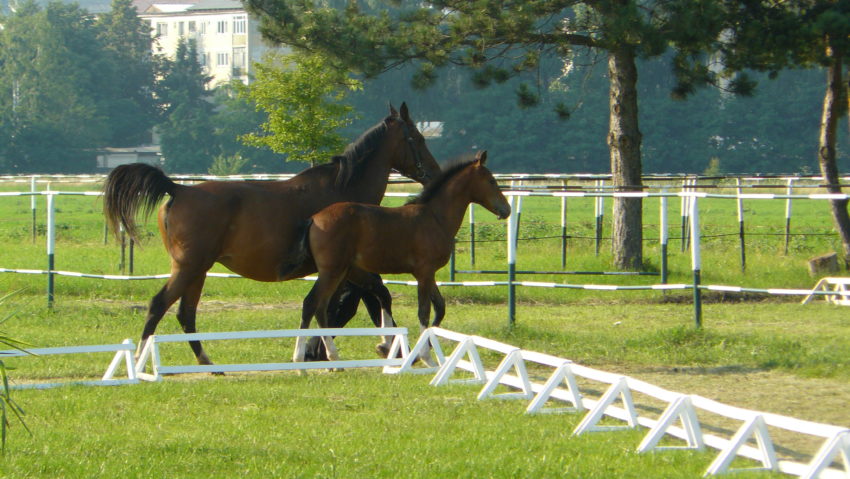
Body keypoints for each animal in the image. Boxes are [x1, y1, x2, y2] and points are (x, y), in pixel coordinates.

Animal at [102, 105, 440, 366]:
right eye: (417, 138)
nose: (434, 173)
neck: (343, 191)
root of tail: (178, 189)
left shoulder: (347, 270)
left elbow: (357, 300)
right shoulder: (346, 270)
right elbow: (360, 300)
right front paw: (384, 345)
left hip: (197, 271)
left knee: (186, 313)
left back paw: (207, 362)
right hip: (189, 268)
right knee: (159, 305)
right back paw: (142, 361)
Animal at [290, 152, 510, 366]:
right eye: (491, 180)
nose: (506, 209)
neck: (435, 217)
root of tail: (314, 219)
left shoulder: (428, 274)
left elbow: (440, 308)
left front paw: (423, 349)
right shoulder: (424, 272)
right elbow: (424, 311)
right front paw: (425, 356)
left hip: (341, 272)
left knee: (321, 307)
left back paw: (332, 358)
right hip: (331, 271)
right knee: (311, 303)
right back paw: (300, 360)